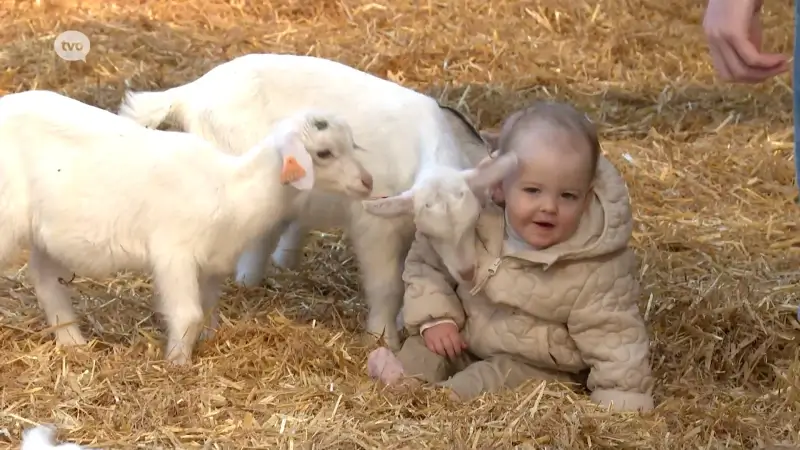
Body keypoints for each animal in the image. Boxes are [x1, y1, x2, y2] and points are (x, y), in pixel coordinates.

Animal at [0, 89, 374, 364]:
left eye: (353, 143)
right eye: (324, 153)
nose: (368, 182)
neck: (231, 188)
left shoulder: (212, 262)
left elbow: (207, 308)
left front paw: (208, 341)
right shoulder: (173, 253)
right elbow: (188, 313)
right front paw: (177, 364)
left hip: (48, 231)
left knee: (45, 278)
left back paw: (72, 341)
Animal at [118, 51, 494, 348]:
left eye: (474, 222)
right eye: (430, 232)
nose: (467, 271)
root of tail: (191, 91)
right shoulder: (375, 227)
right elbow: (386, 285)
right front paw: (382, 337)